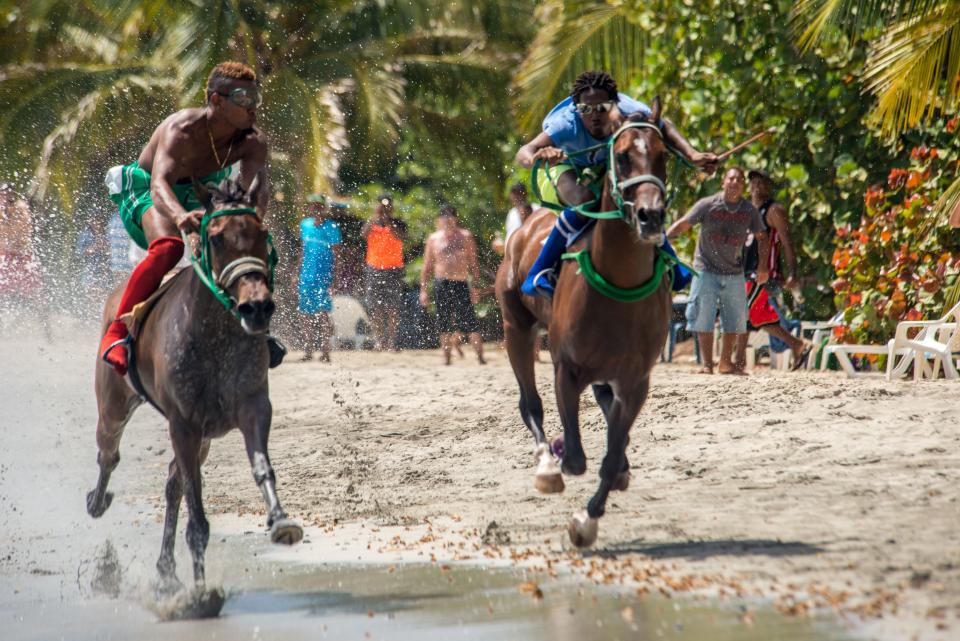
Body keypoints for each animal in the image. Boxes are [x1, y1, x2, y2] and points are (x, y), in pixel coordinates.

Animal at [89, 175, 304, 600]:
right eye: (216, 239)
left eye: (262, 233)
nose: (257, 307)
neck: (214, 332)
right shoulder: (184, 423)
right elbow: (198, 516)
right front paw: (201, 594)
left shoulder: (251, 406)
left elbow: (260, 467)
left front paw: (280, 519)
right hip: (115, 404)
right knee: (109, 452)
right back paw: (97, 501)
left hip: (203, 435)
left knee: (173, 483)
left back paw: (166, 571)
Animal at [498, 104, 672, 544]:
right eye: (622, 156)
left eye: (663, 155)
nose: (650, 216)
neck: (619, 283)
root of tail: (526, 225)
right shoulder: (567, 368)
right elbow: (575, 457)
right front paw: (559, 462)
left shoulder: (636, 379)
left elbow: (612, 452)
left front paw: (587, 520)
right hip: (515, 329)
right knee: (530, 403)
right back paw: (546, 463)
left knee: (605, 406)